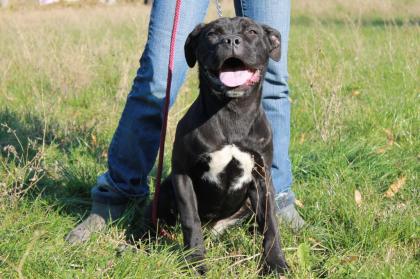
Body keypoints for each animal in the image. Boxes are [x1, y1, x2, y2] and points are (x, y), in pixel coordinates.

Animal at [154, 16, 288, 274]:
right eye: (212, 34)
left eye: (252, 32)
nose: (231, 40)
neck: (232, 113)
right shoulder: (182, 174)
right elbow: (191, 220)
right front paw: (196, 261)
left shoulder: (262, 178)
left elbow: (270, 224)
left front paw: (276, 263)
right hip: (165, 189)